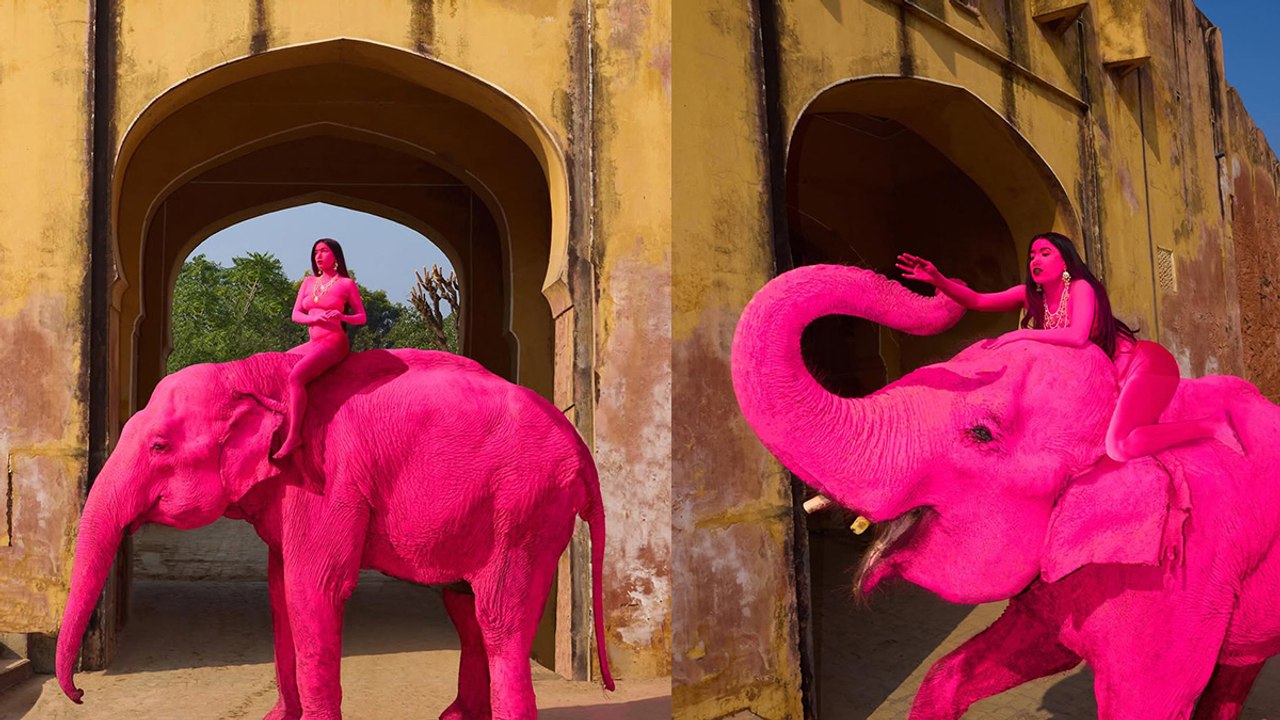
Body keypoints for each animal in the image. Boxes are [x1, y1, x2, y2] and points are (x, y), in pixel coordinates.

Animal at [55, 349, 613, 720]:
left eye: (159, 446)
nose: (81, 694)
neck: (257, 374)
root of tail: (583, 451)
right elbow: (280, 591)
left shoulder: (326, 480)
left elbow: (313, 590)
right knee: (464, 607)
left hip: (526, 508)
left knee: (499, 619)